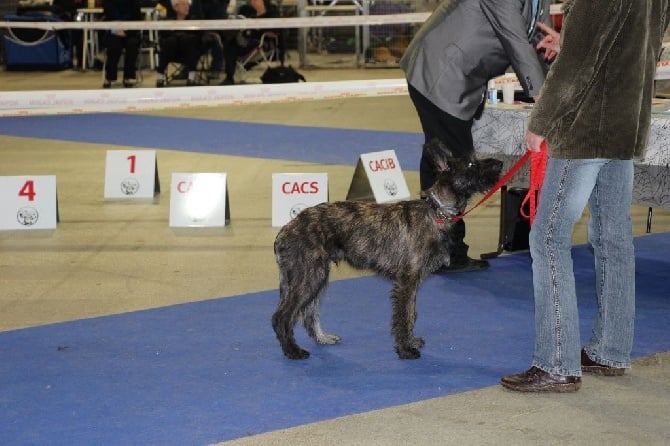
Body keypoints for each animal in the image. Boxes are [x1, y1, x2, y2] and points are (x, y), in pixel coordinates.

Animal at [270, 141, 502, 360]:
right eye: (471, 164)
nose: (500, 164)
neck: (436, 211)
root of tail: (286, 230)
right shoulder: (407, 281)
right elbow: (403, 315)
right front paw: (405, 349)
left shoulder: (412, 283)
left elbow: (411, 313)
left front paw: (411, 341)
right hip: (309, 276)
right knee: (283, 316)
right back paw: (292, 350)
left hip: (317, 277)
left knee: (308, 313)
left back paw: (322, 338)